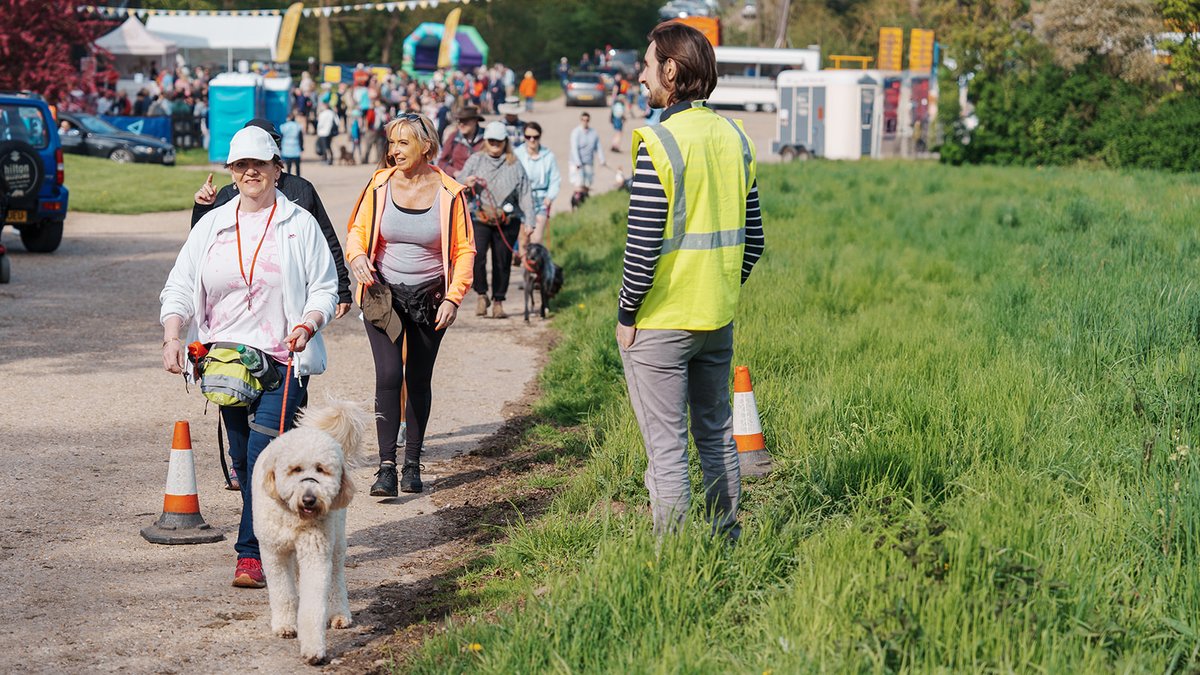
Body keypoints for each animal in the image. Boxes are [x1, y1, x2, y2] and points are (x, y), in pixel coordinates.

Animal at [250, 396, 367, 662]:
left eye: (322, 469)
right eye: (295, 469)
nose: (309, 499)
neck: (294, 516)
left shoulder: (316, 552)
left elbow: (313, 604)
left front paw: (314, 648)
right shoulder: (274, 553)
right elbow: (283, 594)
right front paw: (285, 625)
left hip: (337, 542)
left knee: (336, 579)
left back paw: (339, 614)